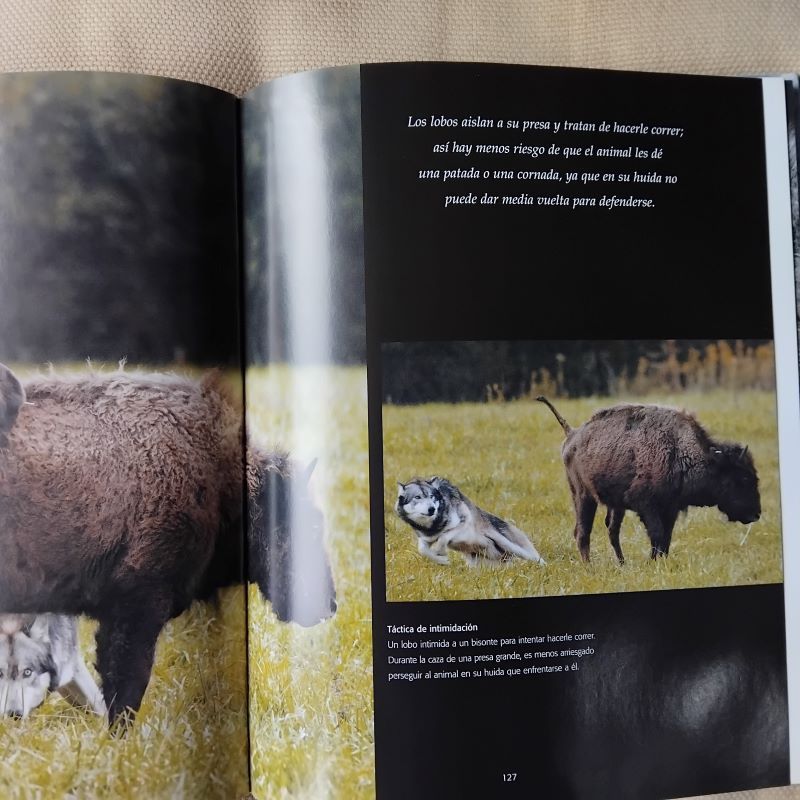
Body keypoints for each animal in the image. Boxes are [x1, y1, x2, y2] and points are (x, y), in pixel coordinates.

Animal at [395, 477, 546, 566]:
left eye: (432, 496)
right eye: (417, 497)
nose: (432, 509)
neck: (434, 526)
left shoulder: (464, 521)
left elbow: (444, 537)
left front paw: (440, 552)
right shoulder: (425, 538)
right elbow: (423, 550)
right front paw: (442, 560)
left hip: (512, 546)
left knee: (537, 558)